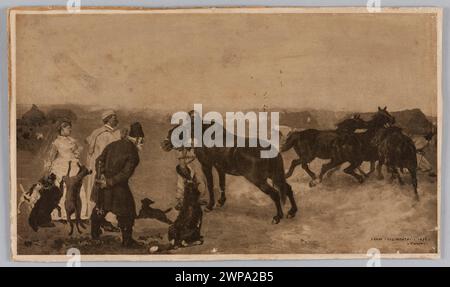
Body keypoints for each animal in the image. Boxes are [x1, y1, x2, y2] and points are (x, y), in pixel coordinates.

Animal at [163, 121, 298, 225]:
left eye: (176, 133)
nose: (164, 144)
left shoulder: (206, 166)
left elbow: (211, 185)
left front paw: (210, 206)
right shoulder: (220, 168)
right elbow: (222, 184)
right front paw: (221, 202)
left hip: (258, 180)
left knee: (275, 194)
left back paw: (277, 217)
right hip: (273, 176)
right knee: (288, 189)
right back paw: (292, 212)